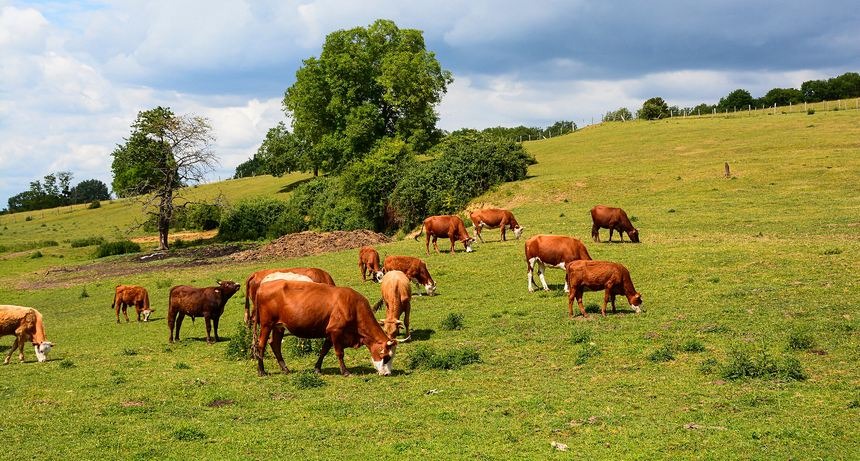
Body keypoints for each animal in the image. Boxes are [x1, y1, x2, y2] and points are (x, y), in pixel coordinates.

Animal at [255, 278, 404, 376]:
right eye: (387, 357)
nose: (387, 374)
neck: (353, 306)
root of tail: (262, 286)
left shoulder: (329, 333)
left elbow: (324, 351)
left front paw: (317, 369)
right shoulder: (336, 331)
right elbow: (339, 353)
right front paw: (345, 371)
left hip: (278, 326)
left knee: (275, 344)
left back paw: (285, 369)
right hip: (266, 324)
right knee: (261, 345)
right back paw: (261, 371)